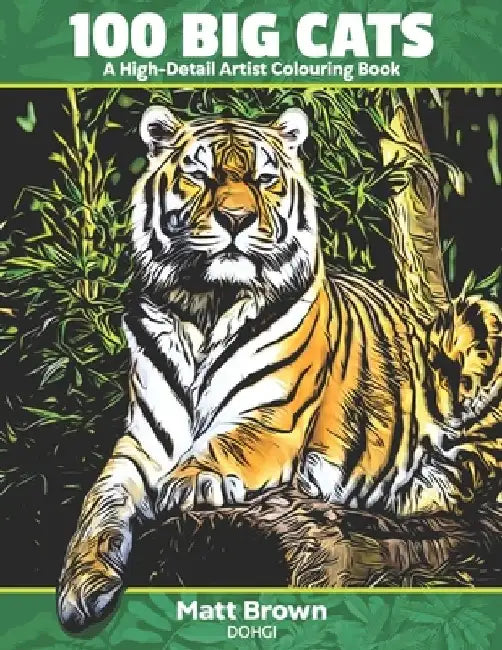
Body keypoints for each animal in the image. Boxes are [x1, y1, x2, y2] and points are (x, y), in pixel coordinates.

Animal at [57, 105, 502, 631]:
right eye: (200, 175)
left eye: (264, 179)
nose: (236, 218)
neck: (206, 308)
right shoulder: (142, 443)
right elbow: (98, 506)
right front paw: (81, 588)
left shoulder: (272, 417)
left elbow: (225, 444)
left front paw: (190, 481)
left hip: (479, 316)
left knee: (468, 474)